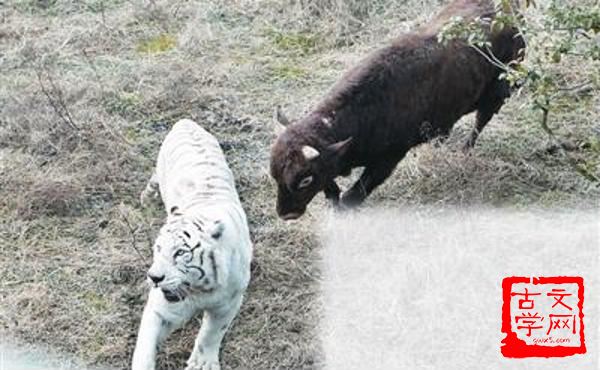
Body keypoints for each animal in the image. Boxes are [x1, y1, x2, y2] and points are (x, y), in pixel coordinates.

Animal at [132, 118, 252, 370]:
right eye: (158, 249)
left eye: (180, 253)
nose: (154, 278)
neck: (201, 288)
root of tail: (185, 121)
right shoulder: (161, 307)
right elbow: (145, 343)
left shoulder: (230, 301)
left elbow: (212, 332)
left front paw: (202, 363)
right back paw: (146, 199)